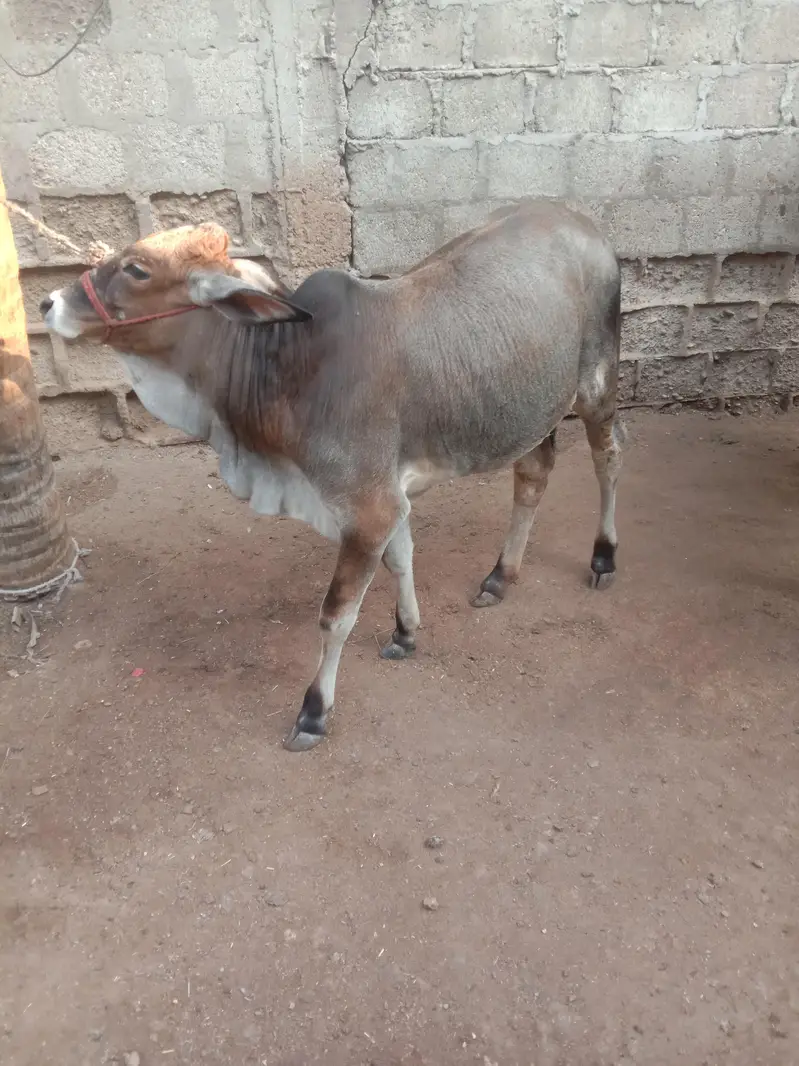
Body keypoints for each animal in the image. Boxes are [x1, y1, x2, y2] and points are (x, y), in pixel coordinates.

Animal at [41, 200, 624, 752]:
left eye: (137, 269)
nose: (49, 304)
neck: (287, 364)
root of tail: (582, 222)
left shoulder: (369, 508)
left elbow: (335, 615)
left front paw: (314, 712)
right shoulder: (387, 500)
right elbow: (401, 560)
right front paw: (406, 632)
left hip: (596, 386)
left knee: (609, 457)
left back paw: (603, 556)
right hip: (533, 411)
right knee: (533, 474)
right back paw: (501, 575)